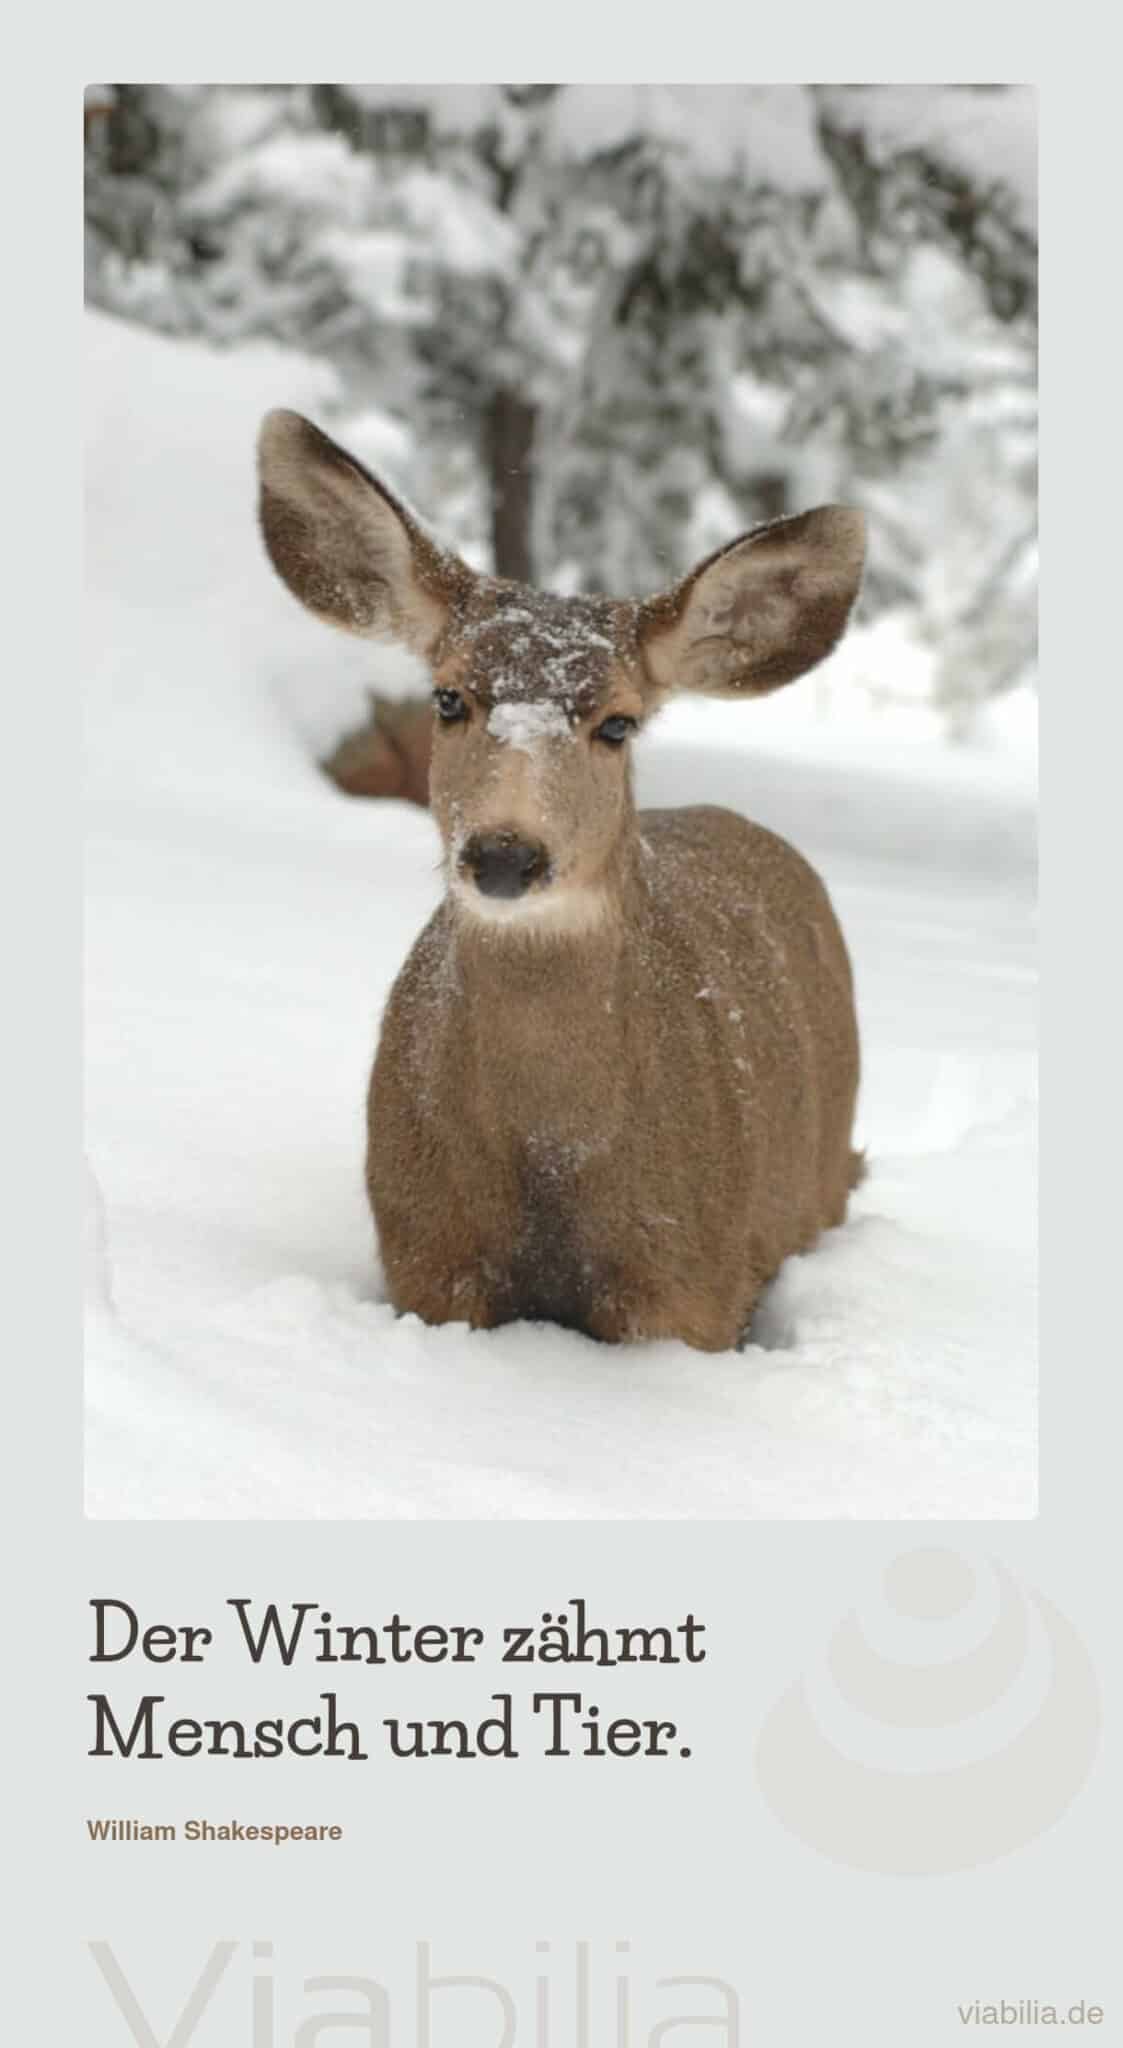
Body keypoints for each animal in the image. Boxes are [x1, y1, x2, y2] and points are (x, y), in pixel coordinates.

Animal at [257, 409, 866, 1353]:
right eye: (447, 699)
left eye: (617, 723)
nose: (505, 854)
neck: (551, 1159)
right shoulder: (426, 1255)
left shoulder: (690, 1280)